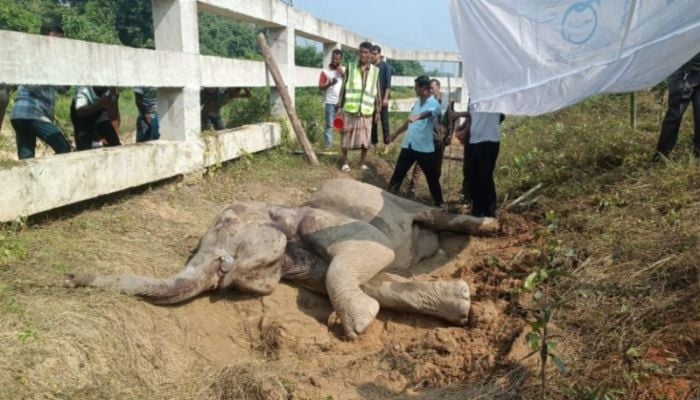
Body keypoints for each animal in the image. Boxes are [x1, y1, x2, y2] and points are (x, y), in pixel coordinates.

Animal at [65, 179, 499, 339]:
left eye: (226, 227)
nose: (68, 278)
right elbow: (378, 282)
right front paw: (461, 304)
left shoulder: (314, 220)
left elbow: (374, 249)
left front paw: (357, 326)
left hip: (395, 199)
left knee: (431, 213)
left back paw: (490, 226)